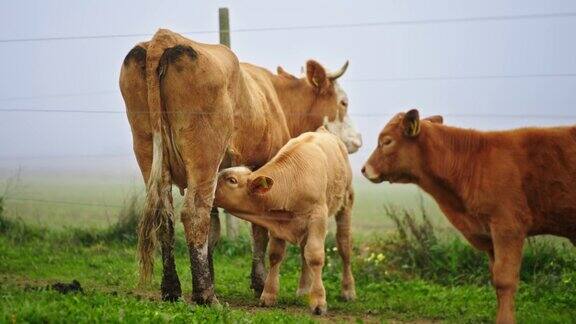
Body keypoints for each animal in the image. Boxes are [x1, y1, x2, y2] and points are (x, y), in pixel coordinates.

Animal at [213, 128, 356, 314]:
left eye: (232, 180)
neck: (292, 182)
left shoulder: (318, 217)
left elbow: (315, 256)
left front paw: (319, 301)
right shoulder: (277, 222)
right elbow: (275, 255)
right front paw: (269, 295)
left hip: (345, 204)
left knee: (344, 247)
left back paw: (348, 290)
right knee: (303, 250)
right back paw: (304, 289)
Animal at [362, 109, 576, 324]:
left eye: (387, 141)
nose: (364, 169)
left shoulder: (508, 227)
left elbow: (505, 279)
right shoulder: (489, 235)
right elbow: (496, 278)